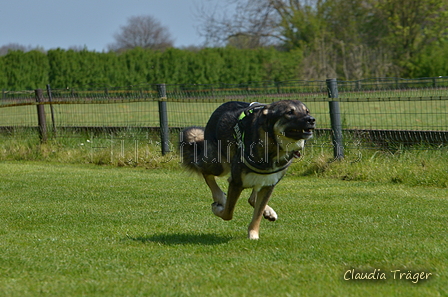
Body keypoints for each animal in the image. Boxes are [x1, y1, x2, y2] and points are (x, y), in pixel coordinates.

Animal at [178, 99, 316, 238]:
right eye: (289, 112)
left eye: (307, 111)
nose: (312, 119)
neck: (272, 144)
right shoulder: (236, 183)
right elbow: (228, 213)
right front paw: (217, 209)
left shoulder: (269, 184)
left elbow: (257, 214)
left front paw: (253, 234)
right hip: (219, 165)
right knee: (204, 171)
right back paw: (220, 197)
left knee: (253, 198)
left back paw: (268, 211)